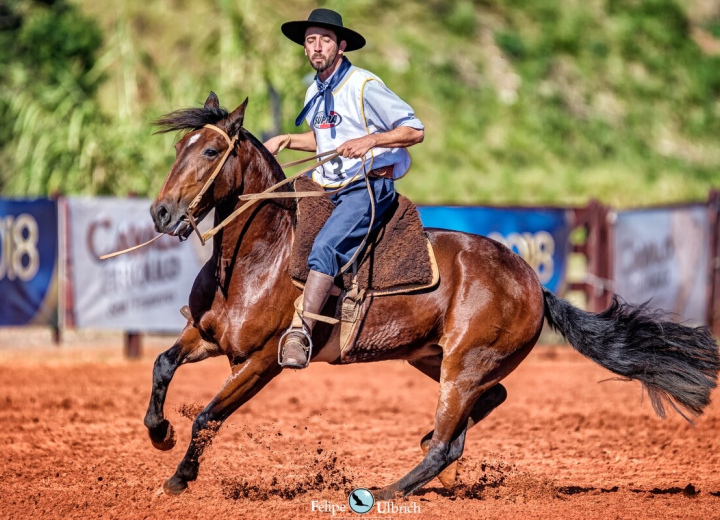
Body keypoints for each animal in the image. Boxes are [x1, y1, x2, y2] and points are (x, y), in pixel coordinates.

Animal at [145, 93, 720, 500]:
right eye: (177, 149)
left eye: (211, 150)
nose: (162, 213)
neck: (258, 256)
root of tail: (533, 281)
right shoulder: (204, 335)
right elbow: (162, 366)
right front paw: (160, 434)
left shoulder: (262, 361)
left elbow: (208, 416)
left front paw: (178, 478)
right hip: (434, 357)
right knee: (483, 407)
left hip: (463, 366)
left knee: (448, 444)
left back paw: (384, 490)